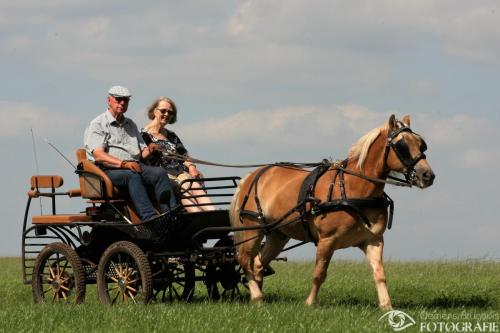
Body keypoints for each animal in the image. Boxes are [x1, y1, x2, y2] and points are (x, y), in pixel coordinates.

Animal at [229, 115, 434, 308]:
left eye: (421, 144)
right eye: (402, 145)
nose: (428, 175)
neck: (353, 188)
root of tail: (254, 175)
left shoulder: (373, 240)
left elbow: (379, 273)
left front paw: (386, 306)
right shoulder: (327, 239)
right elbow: (319, 273)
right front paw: (310, 303)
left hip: (278, 234)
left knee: (258, 264)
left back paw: (258, 298)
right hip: (252, 228)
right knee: (244, 259)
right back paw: (256, 295)